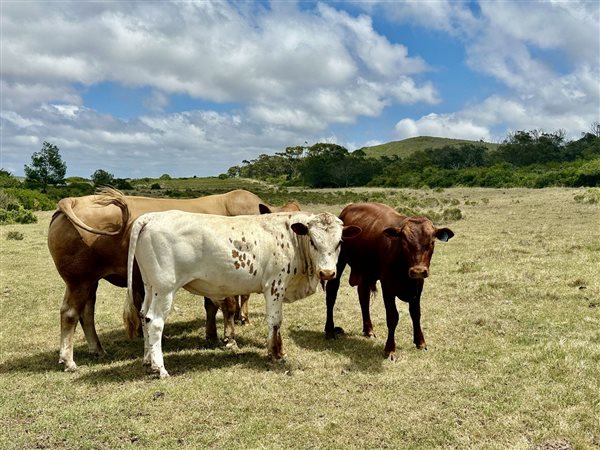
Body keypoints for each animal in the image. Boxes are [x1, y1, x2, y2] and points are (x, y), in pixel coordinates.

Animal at [48, 186, 300, 370]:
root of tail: (73, 201)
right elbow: (228, 306)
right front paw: (230, 339)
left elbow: (211, 307)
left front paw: (212, 336)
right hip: (79, 281)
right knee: (70, 313)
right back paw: (68, 360)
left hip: (89, 282)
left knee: (86, 314)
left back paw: (97, 349)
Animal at [125, 210, 360, 376]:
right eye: (313, 241)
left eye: (339, 242)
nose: (327, 273)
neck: (291, 239)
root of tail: (150, 217)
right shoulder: (275, 285)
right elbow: (275, 321)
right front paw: (275, 353)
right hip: (165, 288)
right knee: (155, 321)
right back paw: (160, 368)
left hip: (150, 286)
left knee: (143, 316)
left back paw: (147, 360)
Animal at [326, 204, 452, 362]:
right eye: (404, 242)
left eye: (431, 242)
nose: (418, 270)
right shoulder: (387, 285)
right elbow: (392, 317)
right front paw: (390, 349)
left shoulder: (418, 285)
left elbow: (416, 313)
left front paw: (420, 342)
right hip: (339, 262)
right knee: (331, 294)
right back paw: (329, 331)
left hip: (366, 271)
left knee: (363, 297)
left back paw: (368, 330)